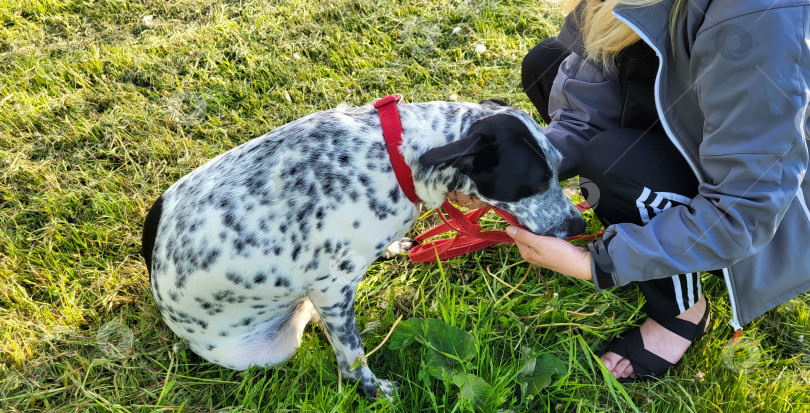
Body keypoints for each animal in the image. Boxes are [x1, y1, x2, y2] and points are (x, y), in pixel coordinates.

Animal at [139, 98, 580, 398]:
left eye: (561, 167)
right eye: (535, 182)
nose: (579, 225)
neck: (394, 159)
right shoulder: (331, 290)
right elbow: (353, 359)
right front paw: (374, 392)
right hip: (273, 346)